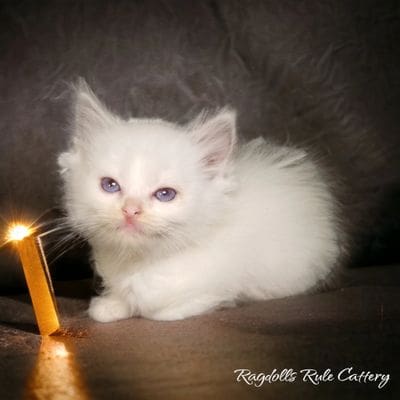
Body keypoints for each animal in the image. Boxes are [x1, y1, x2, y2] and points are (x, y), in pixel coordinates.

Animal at [59, 81, 340, 322]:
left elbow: (160, 309)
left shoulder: (217, 283)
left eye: (165, 194)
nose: (130, 210)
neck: (140, 261)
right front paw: (109, 306)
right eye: (110, 185)